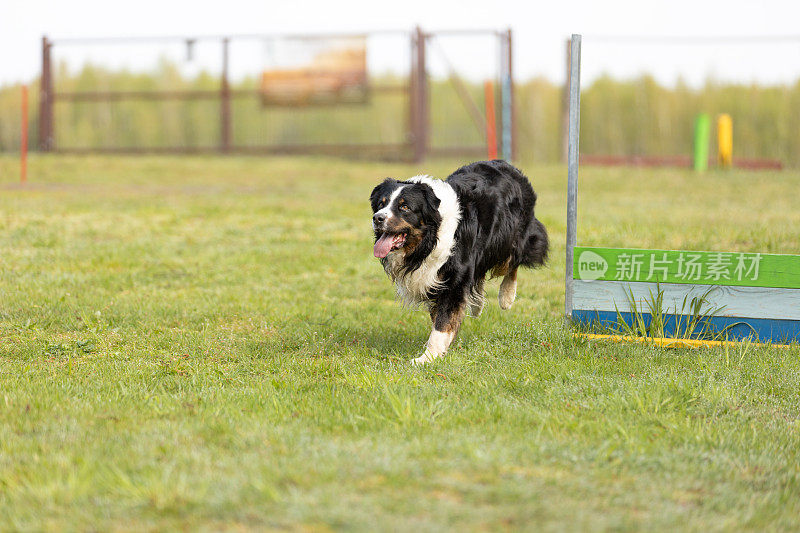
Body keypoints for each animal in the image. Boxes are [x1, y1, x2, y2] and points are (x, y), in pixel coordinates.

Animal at [370, 160, 548, 364]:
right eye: (381, 204)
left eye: (404, 207)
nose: (377, 218)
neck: (431, 238)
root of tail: (508, 166)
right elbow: (442, 317)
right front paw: (443, 347)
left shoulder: (454, 279)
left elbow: (443, 321)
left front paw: (428, 357)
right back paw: (478, 305)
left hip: (509, 240)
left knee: (511, 264)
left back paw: (506, 297)